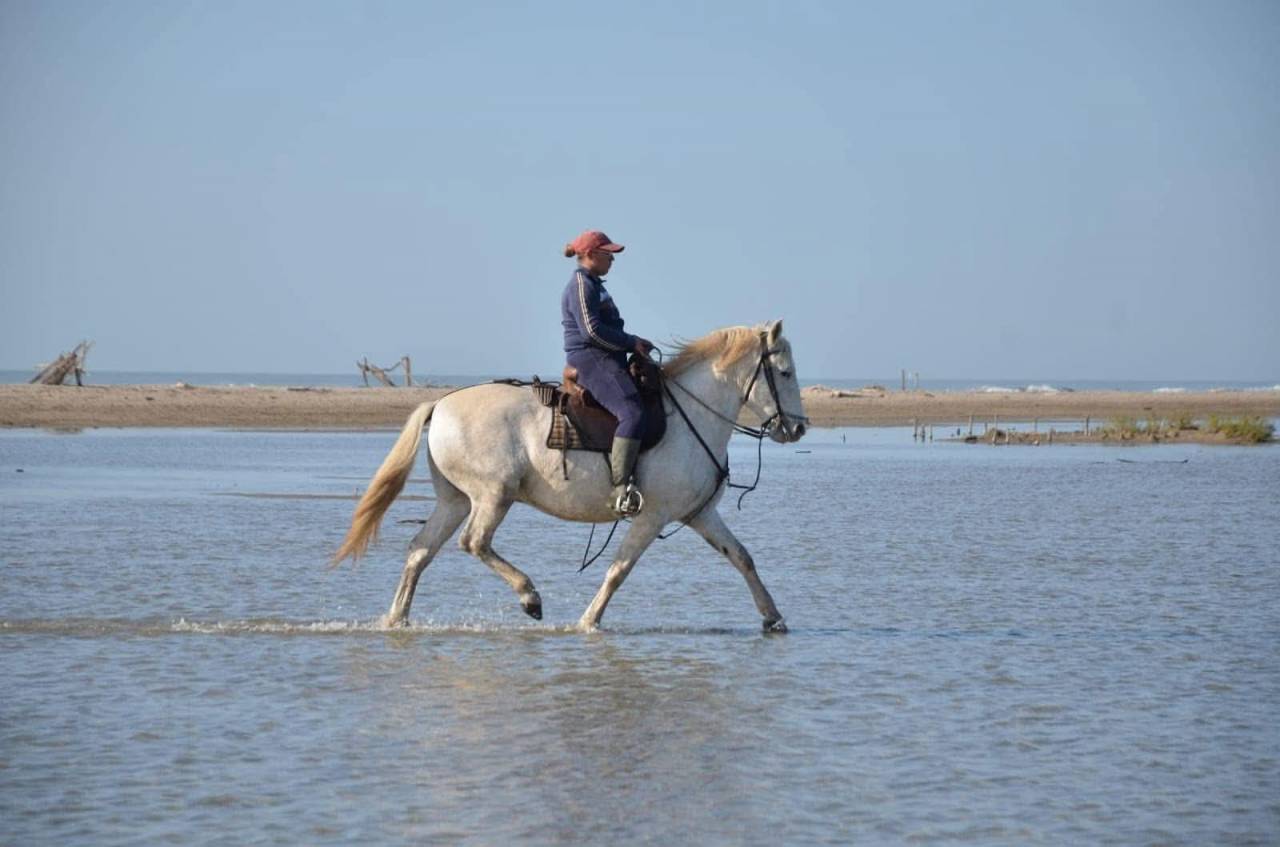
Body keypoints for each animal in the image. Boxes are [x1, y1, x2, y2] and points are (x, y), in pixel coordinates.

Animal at [333, 320, 808, 632]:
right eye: (785, 372)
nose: (800, 428)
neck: (691, 413)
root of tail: (442, 403)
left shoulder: (699, 515)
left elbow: (742, 557)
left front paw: (773, 618)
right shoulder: (652, 517)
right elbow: (618, 570)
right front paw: (587, 622)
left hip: (455, 501)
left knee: (420, 551)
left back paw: (396, 620)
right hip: (493, 495)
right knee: (474, 543)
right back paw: (529, 597)